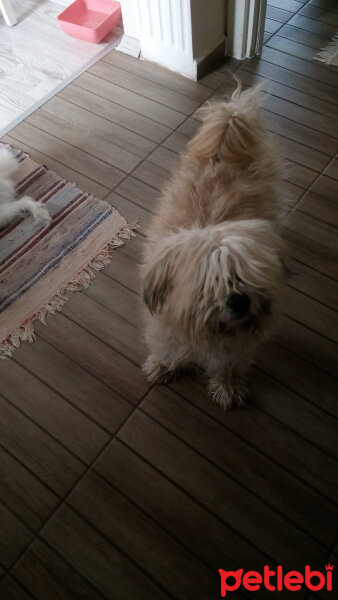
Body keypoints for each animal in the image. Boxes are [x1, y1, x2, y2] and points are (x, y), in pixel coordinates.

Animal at [140, 86, 286, 410]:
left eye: (248, 274)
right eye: (210, 282)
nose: (240, 301)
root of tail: (232, 116)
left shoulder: (235, 345)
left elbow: (228, 364)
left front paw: (227, 386)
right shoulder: (167, 324)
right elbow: (168, 347)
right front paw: (163, 365)